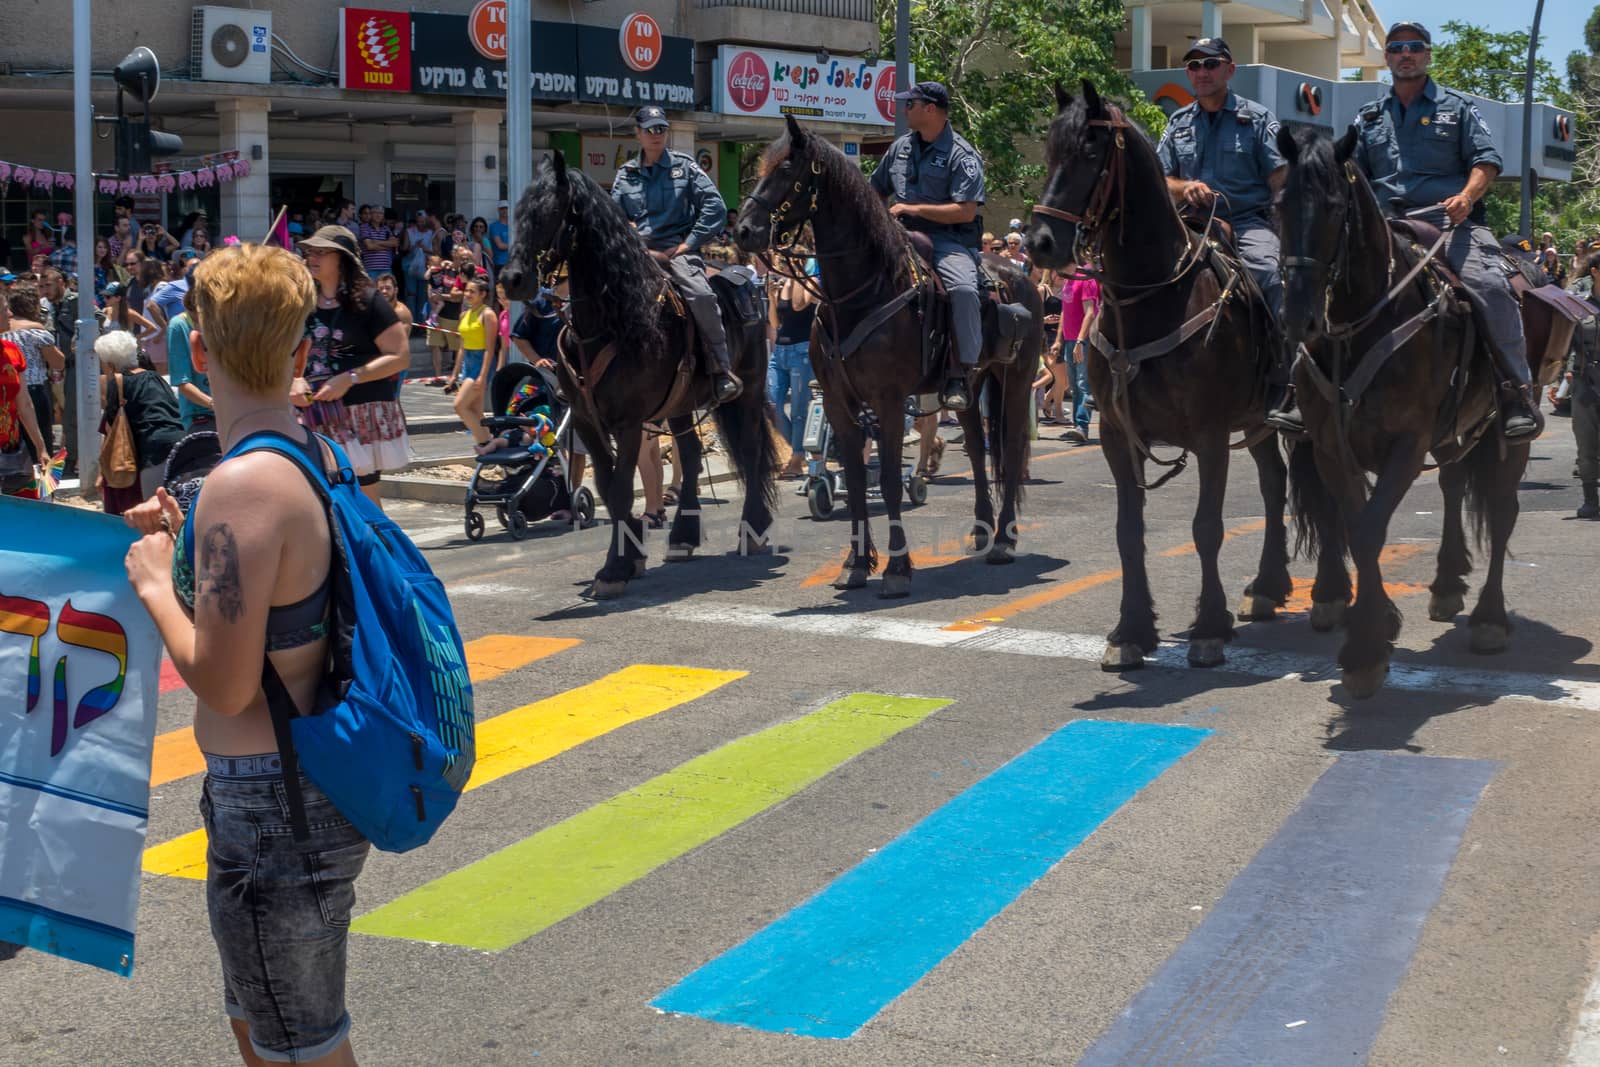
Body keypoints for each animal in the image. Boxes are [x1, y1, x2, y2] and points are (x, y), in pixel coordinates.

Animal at [499, 153, 774, 598]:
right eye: (519, 214)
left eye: (548, 214)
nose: (512, 280)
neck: (614, 321)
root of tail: (748, 279)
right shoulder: (587, 421)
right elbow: (608, 487)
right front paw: (631, 555)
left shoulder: (628, 423)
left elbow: (621, 489)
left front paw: (615, 568)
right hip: (680, 404)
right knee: (691, 457)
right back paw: (682, 537)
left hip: (747, 389)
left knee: (750, 452)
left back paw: (753, 530)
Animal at [732, 119, 1043, 601]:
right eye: (762, 165)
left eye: (787, 171)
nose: (744, 230)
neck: (860, 293)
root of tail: (1019, 277)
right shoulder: (839, 404)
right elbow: (858, 481)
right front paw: (856, 564)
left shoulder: (890, 402)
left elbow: (891, 482)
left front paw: (897, 569)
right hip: (969, 388)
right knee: (976, 449)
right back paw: (981, 529)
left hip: (1015, 379)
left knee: (1008, 451)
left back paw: (1004, 540)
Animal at [1024, 81, 1299, 668]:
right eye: (1051, 151)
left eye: (1090, 152)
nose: (1039, 243)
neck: (1153, 295)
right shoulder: (1116, 434)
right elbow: (1128, 531)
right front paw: (1130, 630)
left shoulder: (1211, 434)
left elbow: (1207, 527)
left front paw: (1209, 627)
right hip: (1256, 423)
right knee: (1273, 482)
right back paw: (1267, 585)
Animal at [1273, 125, 1523, 697]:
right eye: (1279, 206)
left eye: (1336, 207)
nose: (1299, 317)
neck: (1361, 328)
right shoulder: (1330, 446)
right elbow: (1354, 525)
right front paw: (1376, 622)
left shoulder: (1406, 447)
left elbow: (1369, 531)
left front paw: (1366, 648)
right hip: (1456, 435)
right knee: (1454, 486)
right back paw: (1447, 583)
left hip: (1510, 433)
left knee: (1502, 512)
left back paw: (1490, 619)